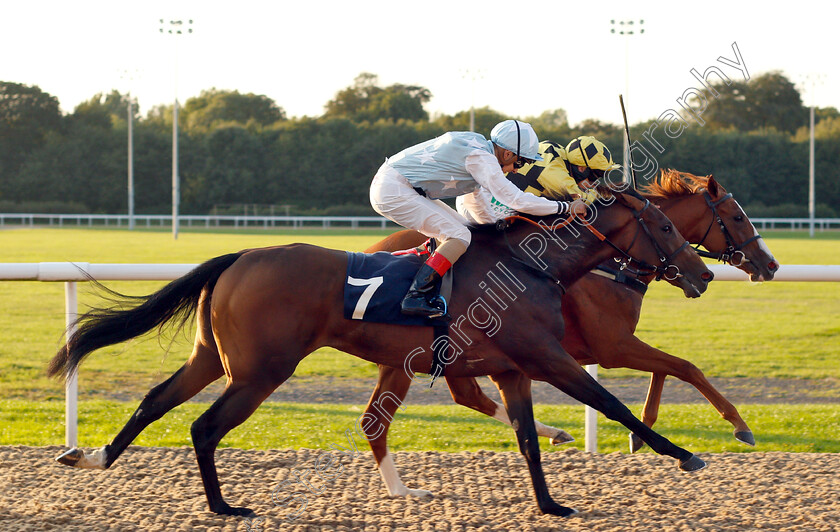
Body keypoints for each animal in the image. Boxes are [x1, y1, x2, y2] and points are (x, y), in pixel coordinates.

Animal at [47, 189, 716, 516]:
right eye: (663, 226)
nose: (702, 275)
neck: (531, 264)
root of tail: (240, 254)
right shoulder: (549, 358)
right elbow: (612, 404)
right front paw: (685, 456)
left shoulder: (513, 369)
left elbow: (528, 437)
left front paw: (552, 504)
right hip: (261, 371)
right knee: (204, 426)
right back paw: (223, 506)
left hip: (213, 359)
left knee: (157, 401)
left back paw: (94, 457)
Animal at [358, 171, 776, 498]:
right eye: (737, 217)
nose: (770, 265)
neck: (610, 265)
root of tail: (369, 249)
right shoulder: (611, 347)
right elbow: (684, 366)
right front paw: (740, 426)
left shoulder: (609, 346)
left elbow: (667, 368)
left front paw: (641, 433)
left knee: (461, 397)